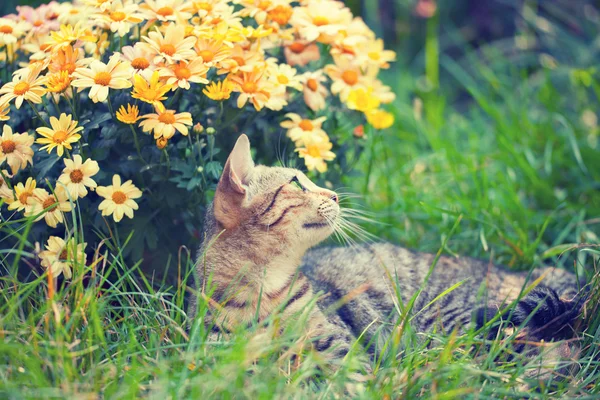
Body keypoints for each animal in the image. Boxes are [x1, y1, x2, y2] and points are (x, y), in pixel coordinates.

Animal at [191, 134, 584, 372]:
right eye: (296, 183)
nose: (335, 195)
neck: (263, 287)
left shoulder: (336, 344)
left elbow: (345, 377)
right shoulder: (217, 357)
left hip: (446, 322)